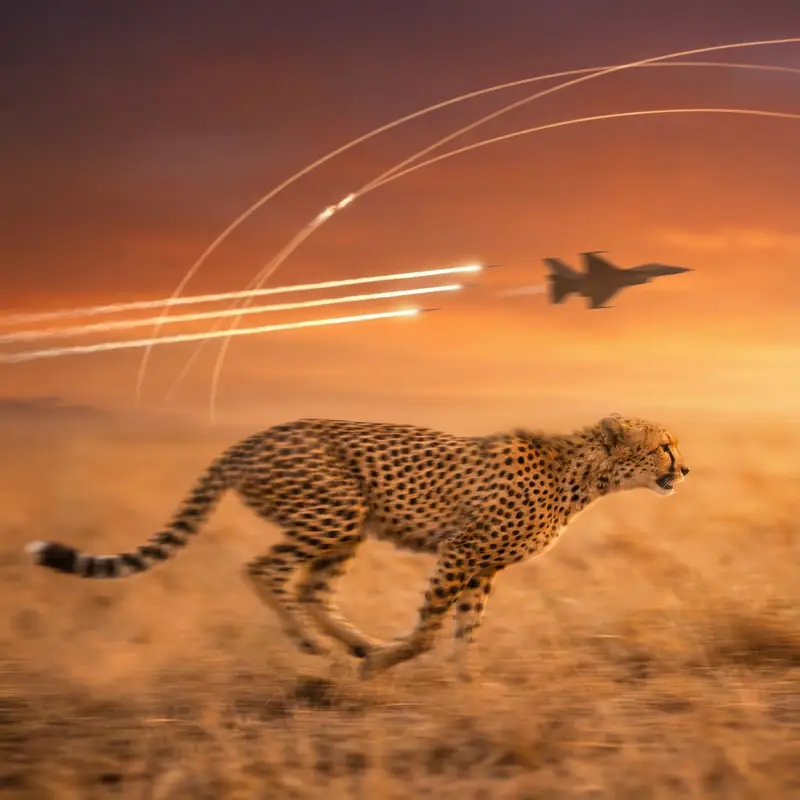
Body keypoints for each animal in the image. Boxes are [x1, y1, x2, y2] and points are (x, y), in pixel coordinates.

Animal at [26, 413, 689, 681]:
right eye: (663, 446)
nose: (684, 471)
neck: (582, 473)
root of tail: (256, 436)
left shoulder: (483, 569)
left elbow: (466, 630)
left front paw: (467, 683)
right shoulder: (461, 553)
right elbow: (428, 630)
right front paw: (391, 663)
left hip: (346, 527)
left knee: (311, 589)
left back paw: (355, 643)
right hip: (335, 511)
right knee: (263, 569)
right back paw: (318, 645)